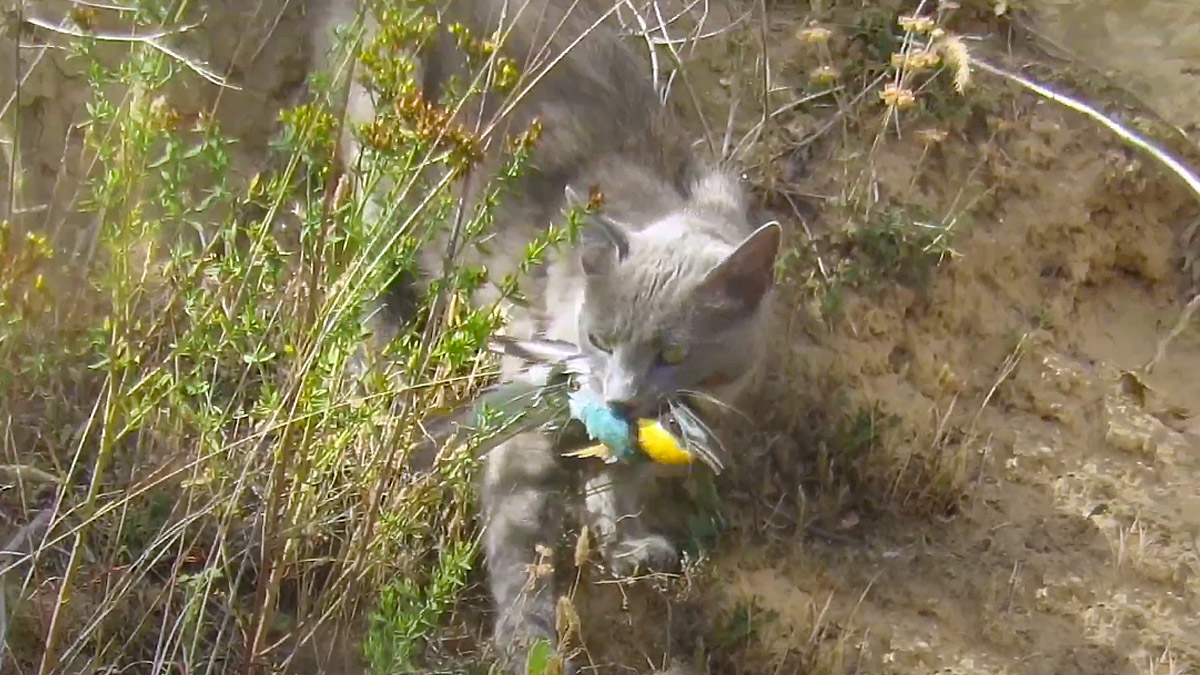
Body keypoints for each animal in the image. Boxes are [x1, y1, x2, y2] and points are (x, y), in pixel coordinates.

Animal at [312, 0, 777, 667]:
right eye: (601, 340)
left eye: (673, 352)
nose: (619, 398)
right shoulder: (525, 433)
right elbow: (522, 547)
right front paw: (528, 645)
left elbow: (620, 479)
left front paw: (625, 543)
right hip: (385, 180)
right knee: (362, 288)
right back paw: (380, 375)